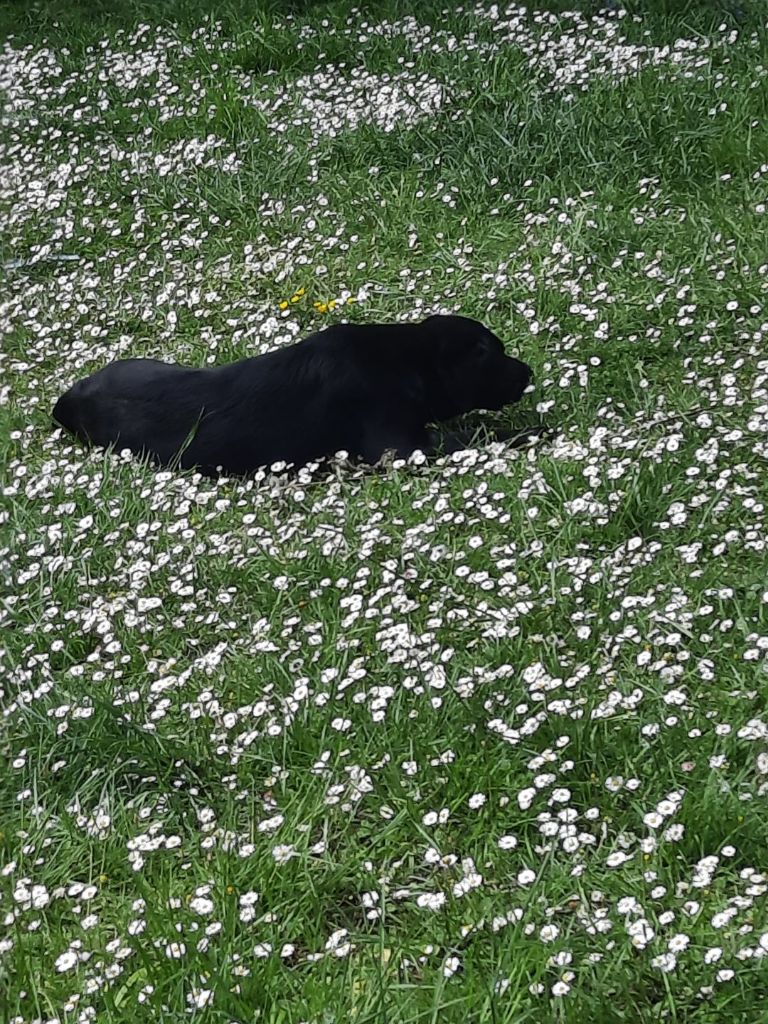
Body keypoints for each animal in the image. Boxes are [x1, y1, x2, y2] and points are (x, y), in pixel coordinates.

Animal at [52, 313, 536, 477]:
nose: (528, 371)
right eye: (495, 353)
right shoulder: (400, 446)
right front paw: (532, 433)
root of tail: (66, 400)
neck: (405, 361)